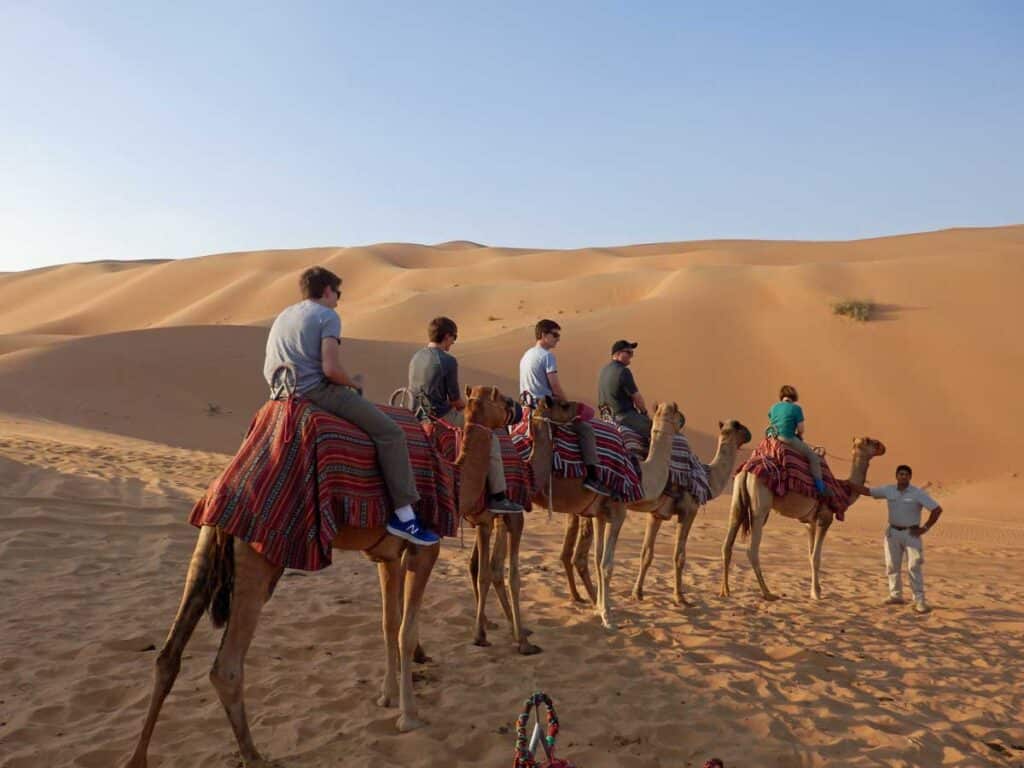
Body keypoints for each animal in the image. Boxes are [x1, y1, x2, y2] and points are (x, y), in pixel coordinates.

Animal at [124, 386, 514, 768]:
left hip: (207, 545)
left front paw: (386, 698)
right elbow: (406, 631)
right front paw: (409, 717)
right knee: (226, 667)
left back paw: (137, 759)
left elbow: (388, 624)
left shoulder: (388, 556)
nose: (518, 406)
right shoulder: (423, 551)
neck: (454, 477)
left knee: (168, 656)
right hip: (257, 558)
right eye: (499, 399)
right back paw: (254, 756)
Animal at [629, 419, 752, 605]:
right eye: (739, 426)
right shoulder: (689, 511)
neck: (708, 477)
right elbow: (679, 556)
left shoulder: (656, 514)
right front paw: (680, 597)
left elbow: (646, 554)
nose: (749, 434)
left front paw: (637, 593)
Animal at [720, 436, 887, 601]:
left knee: (728, 541)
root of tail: (747, 470)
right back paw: (768, 593)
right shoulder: (825, 519)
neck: (841, 490)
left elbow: (810, 555)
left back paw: (725, 590)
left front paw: (814, 590)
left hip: (737, 500)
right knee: (752, 549)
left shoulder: (810, 523)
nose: (883, 447)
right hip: (760, 509)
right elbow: (816, 558)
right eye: (871, 441)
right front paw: (817, 594)